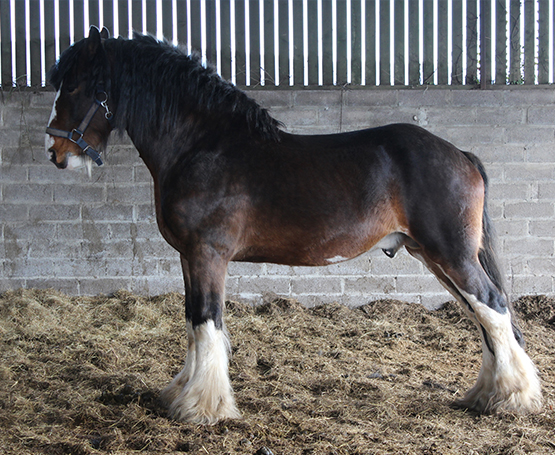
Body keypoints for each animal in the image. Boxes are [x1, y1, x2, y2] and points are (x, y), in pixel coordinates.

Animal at [45, 27, 540, 428]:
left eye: (78, 85)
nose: (55, 151)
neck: (202, 146)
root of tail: (462, 155)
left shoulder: (208, 255)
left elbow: (207, 321)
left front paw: (203, 409)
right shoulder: (189, 256)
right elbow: (192, 321)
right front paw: (181, 395)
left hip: (451, 254)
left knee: (493, 306)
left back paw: (513, 398)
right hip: (434, 255)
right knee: (483, 316)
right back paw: (487, 395)